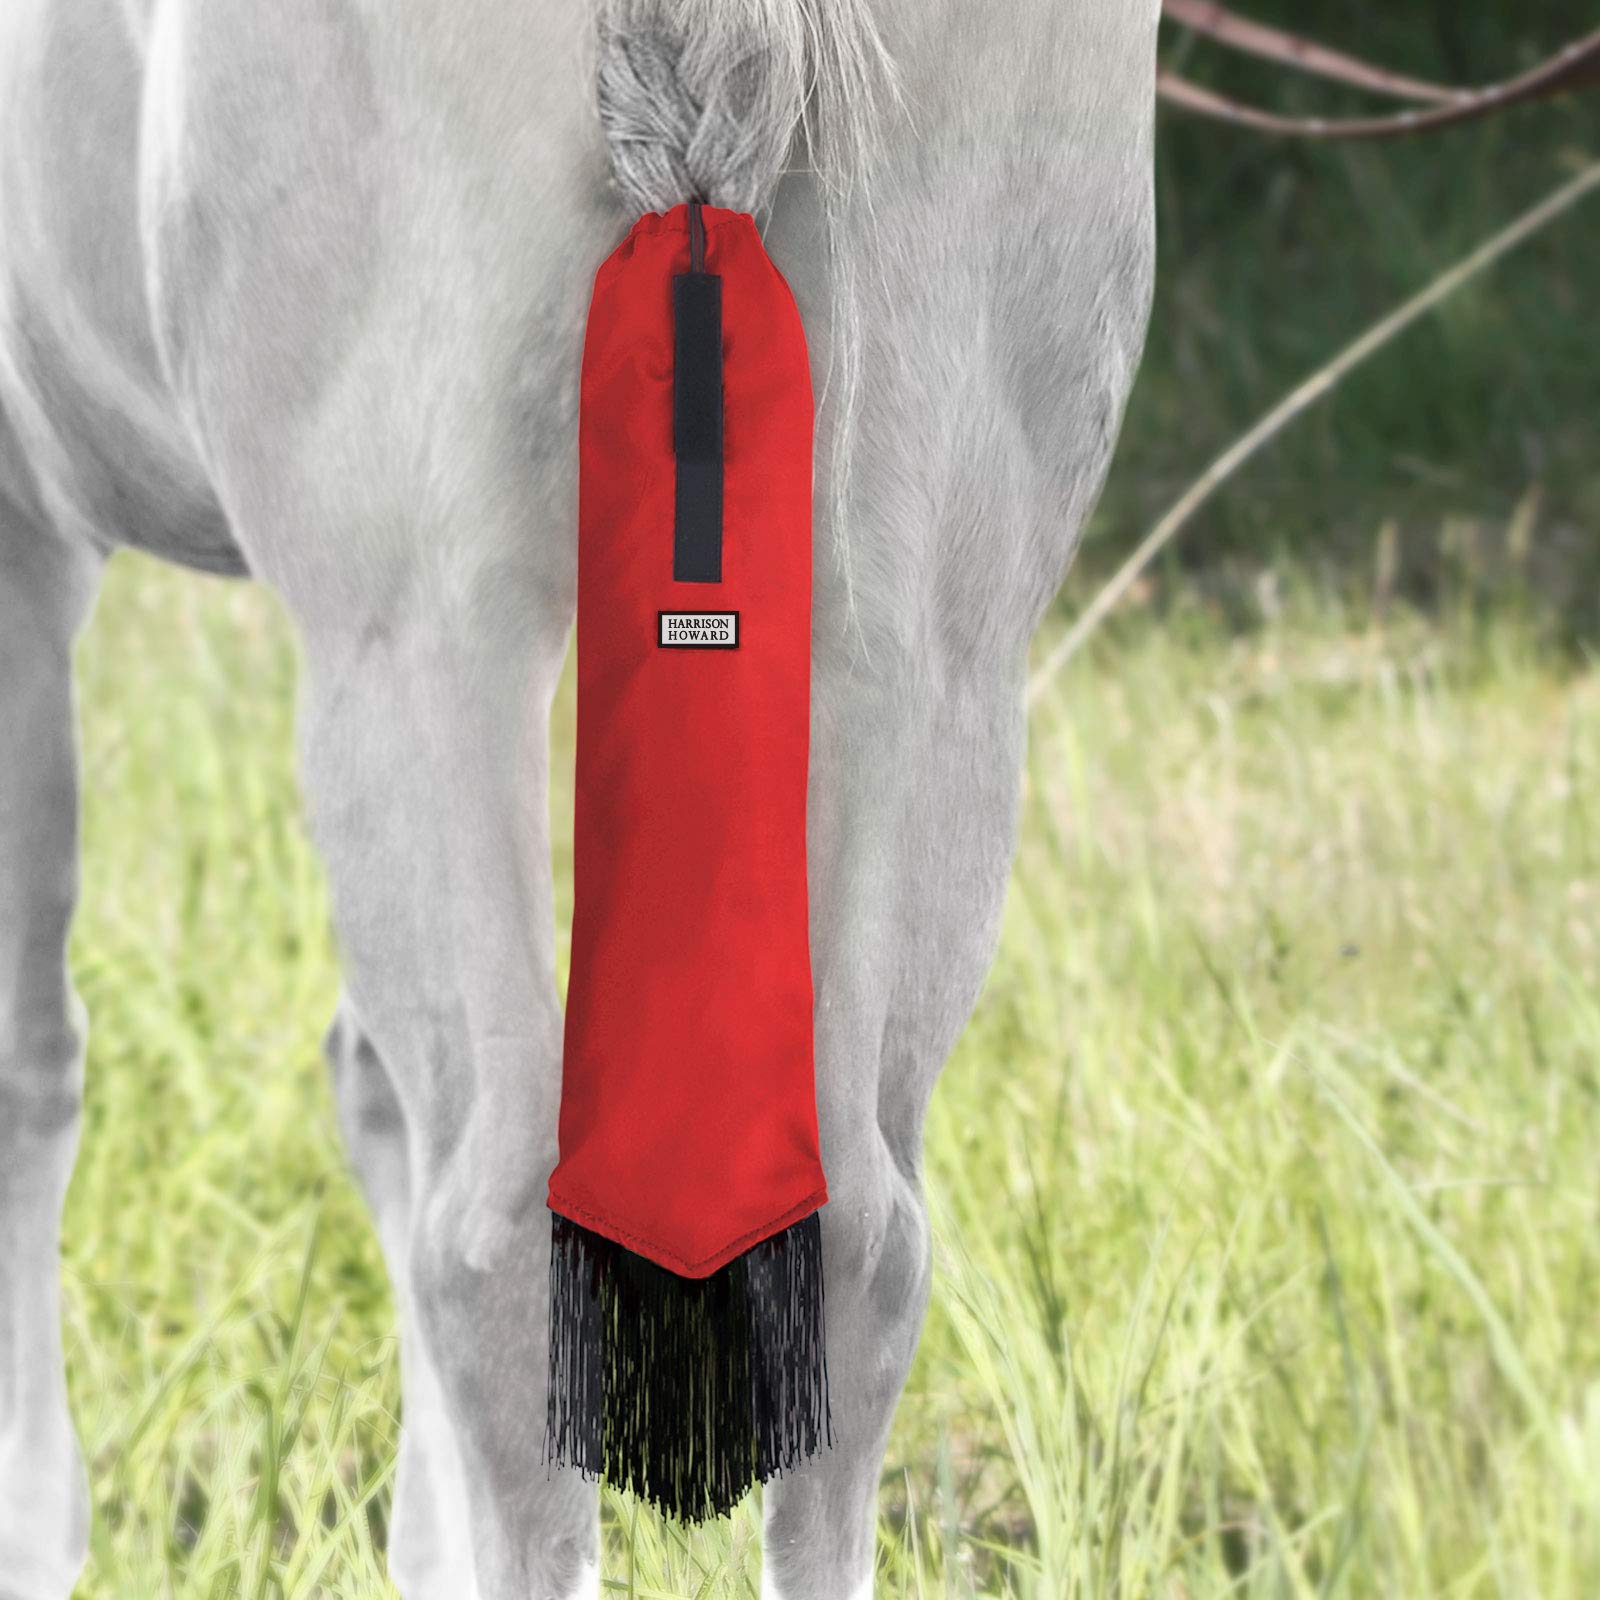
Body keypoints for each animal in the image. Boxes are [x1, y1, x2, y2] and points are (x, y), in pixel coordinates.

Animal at [0, 1, 1157, 1594]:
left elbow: (27, 1063)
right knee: (858, 1240)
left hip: (423, 630)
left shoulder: (22, 525)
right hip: (931, 640)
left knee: (493, 1234)